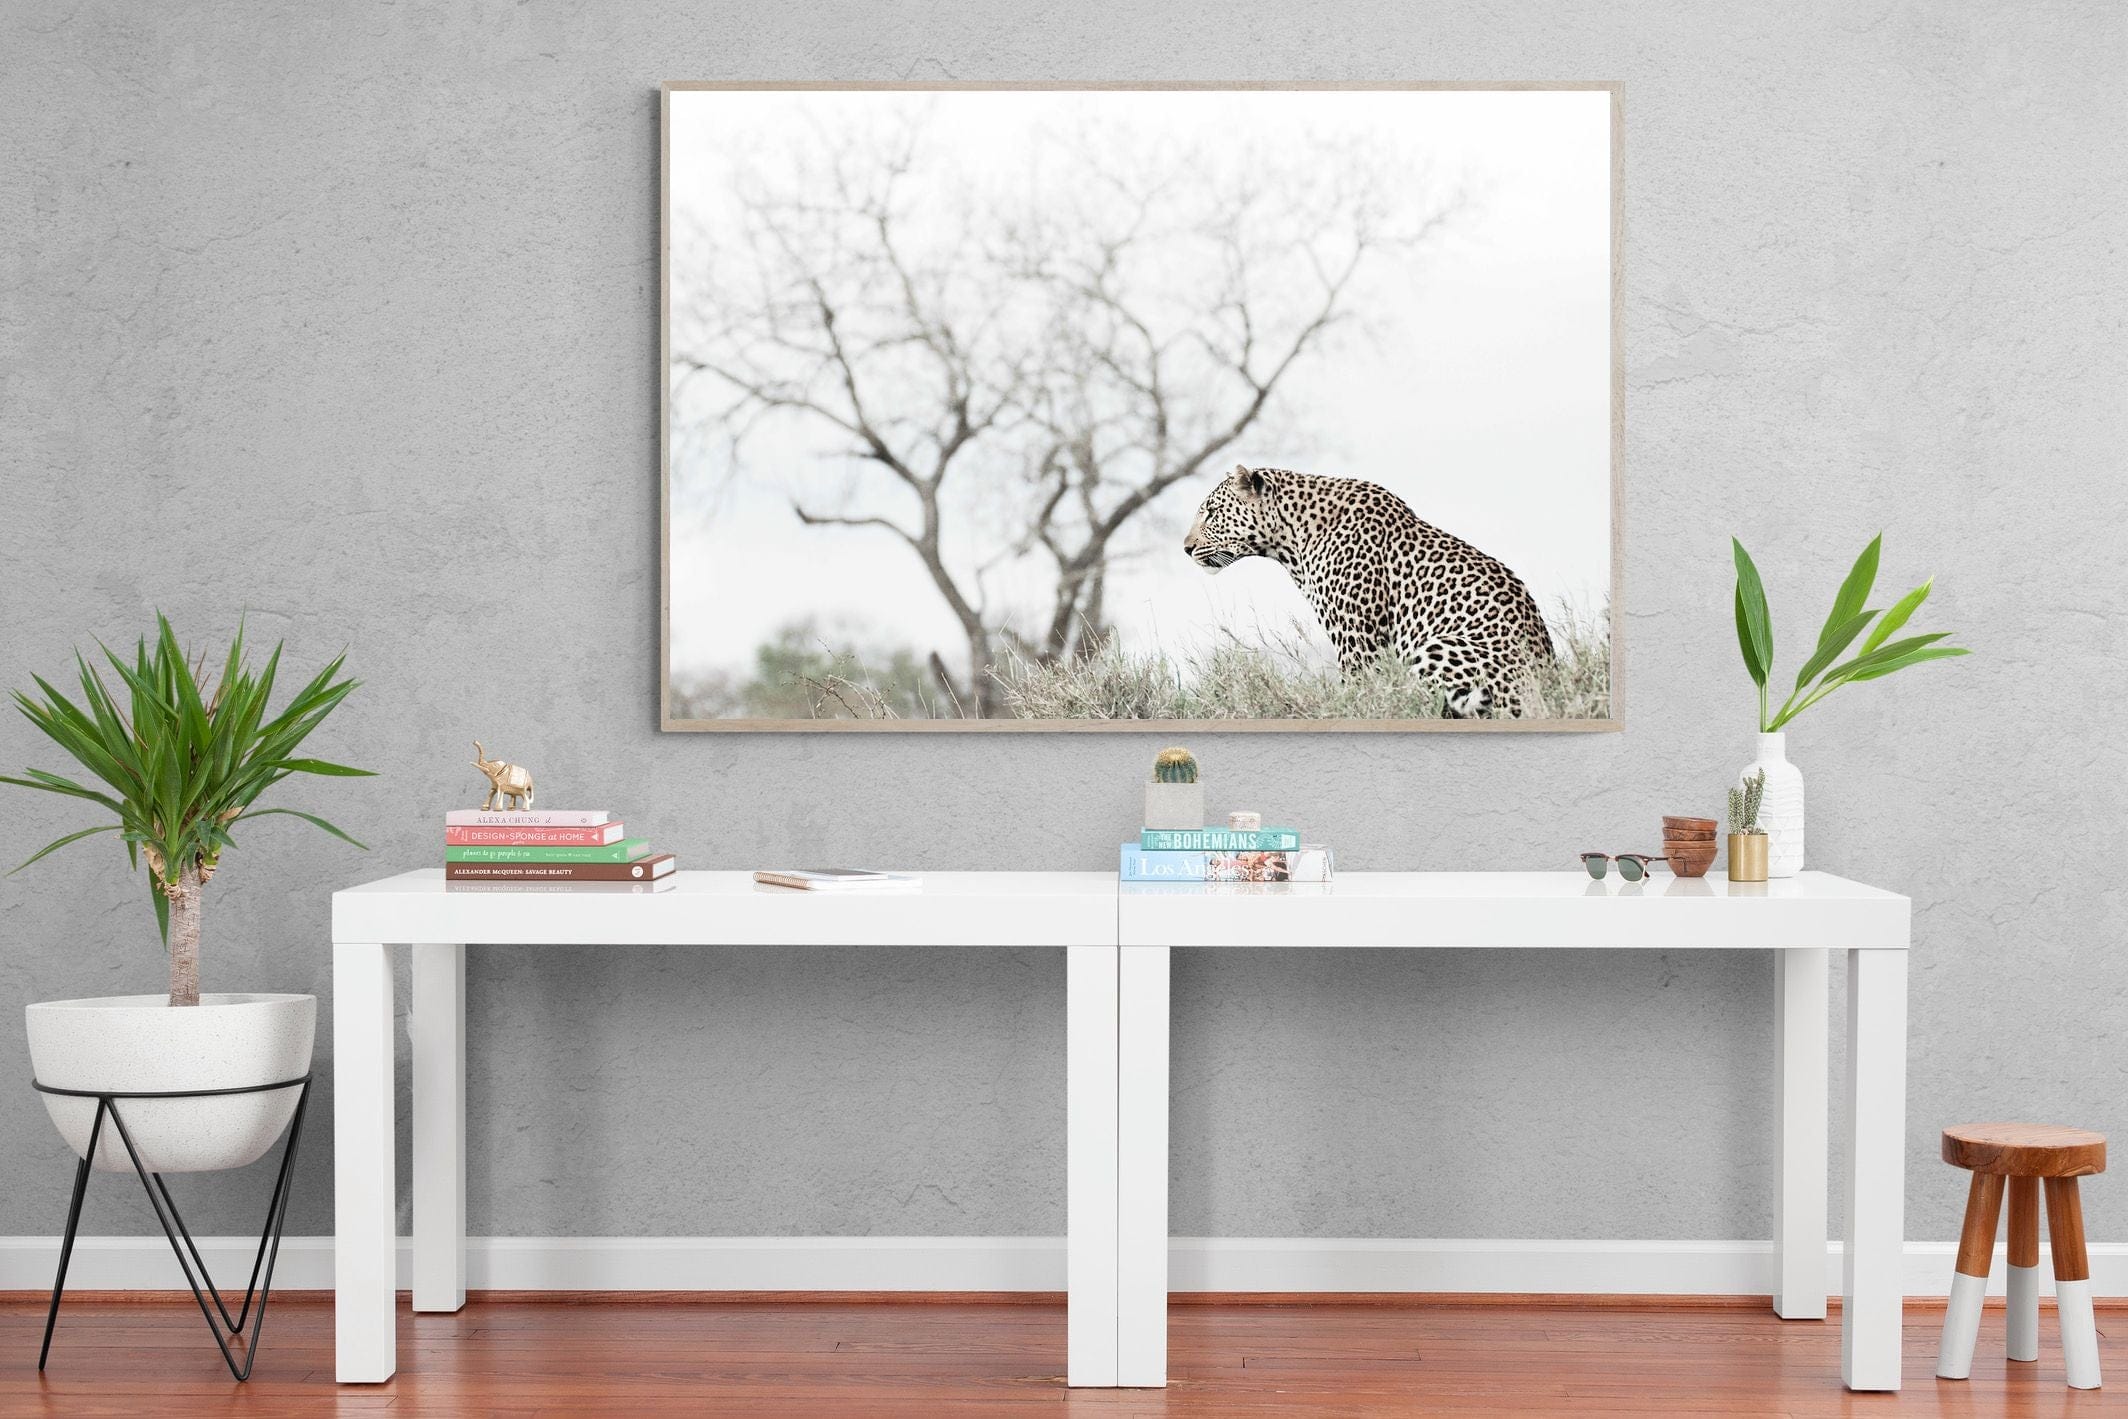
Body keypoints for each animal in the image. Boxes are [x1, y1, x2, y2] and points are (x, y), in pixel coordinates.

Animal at [1182, 463, 1556, 718]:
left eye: (1212, 512)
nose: (1186, 548)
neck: (1290, 539)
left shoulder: (1357, 638)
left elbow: (1358, 693)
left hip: (1438, 648)